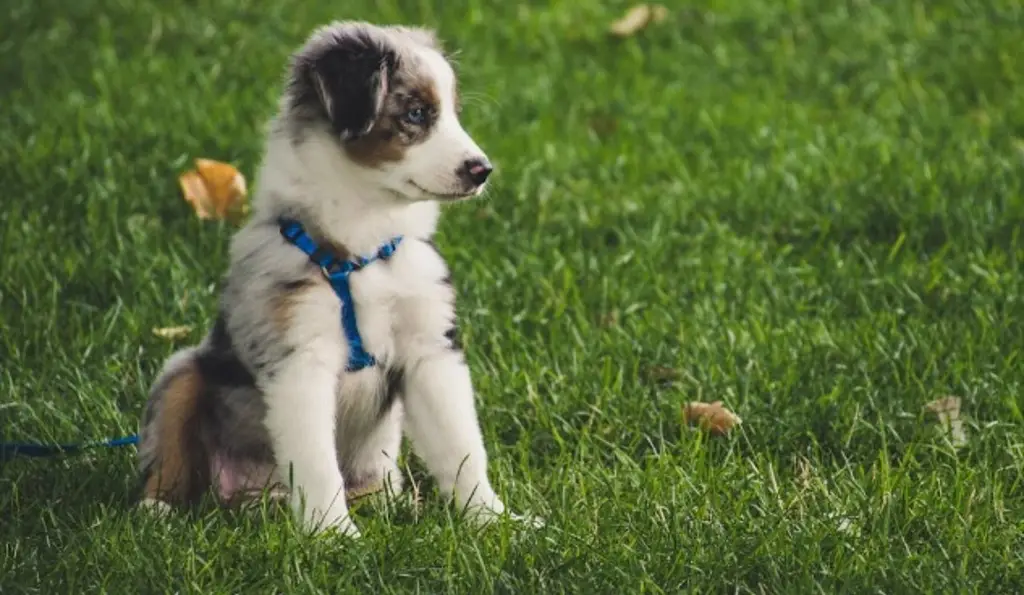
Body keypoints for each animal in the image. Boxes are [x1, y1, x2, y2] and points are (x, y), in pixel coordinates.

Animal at [137, 20, 532, 536]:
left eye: (453, 114)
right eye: (417, 113)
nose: (482, 171)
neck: (364, 247)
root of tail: (254, 496)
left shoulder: (430, 350)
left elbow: (461, 446)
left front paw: (493, 520)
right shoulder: (299, 358)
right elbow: (316, 461)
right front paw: (333, 535)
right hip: (183, 372)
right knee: (169, 450)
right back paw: (158, 509)